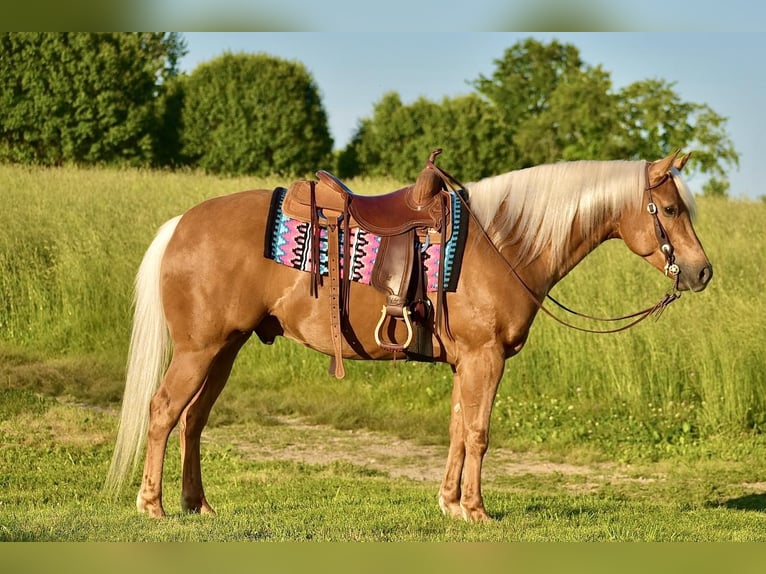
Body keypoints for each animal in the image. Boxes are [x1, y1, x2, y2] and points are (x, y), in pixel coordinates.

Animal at [103, 151, 712, 524]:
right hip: (199, 349)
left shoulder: (467, 363)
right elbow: (479, 433)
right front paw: (477, 510)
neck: (502, 243)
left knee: (193, 420)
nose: (701, 272)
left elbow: (458, 429)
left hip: (225, 349)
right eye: (671, 208)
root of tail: (181, 224)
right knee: (163, 411)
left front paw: (449, 504)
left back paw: (197, 505)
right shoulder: (487, 358)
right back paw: (152, 505)